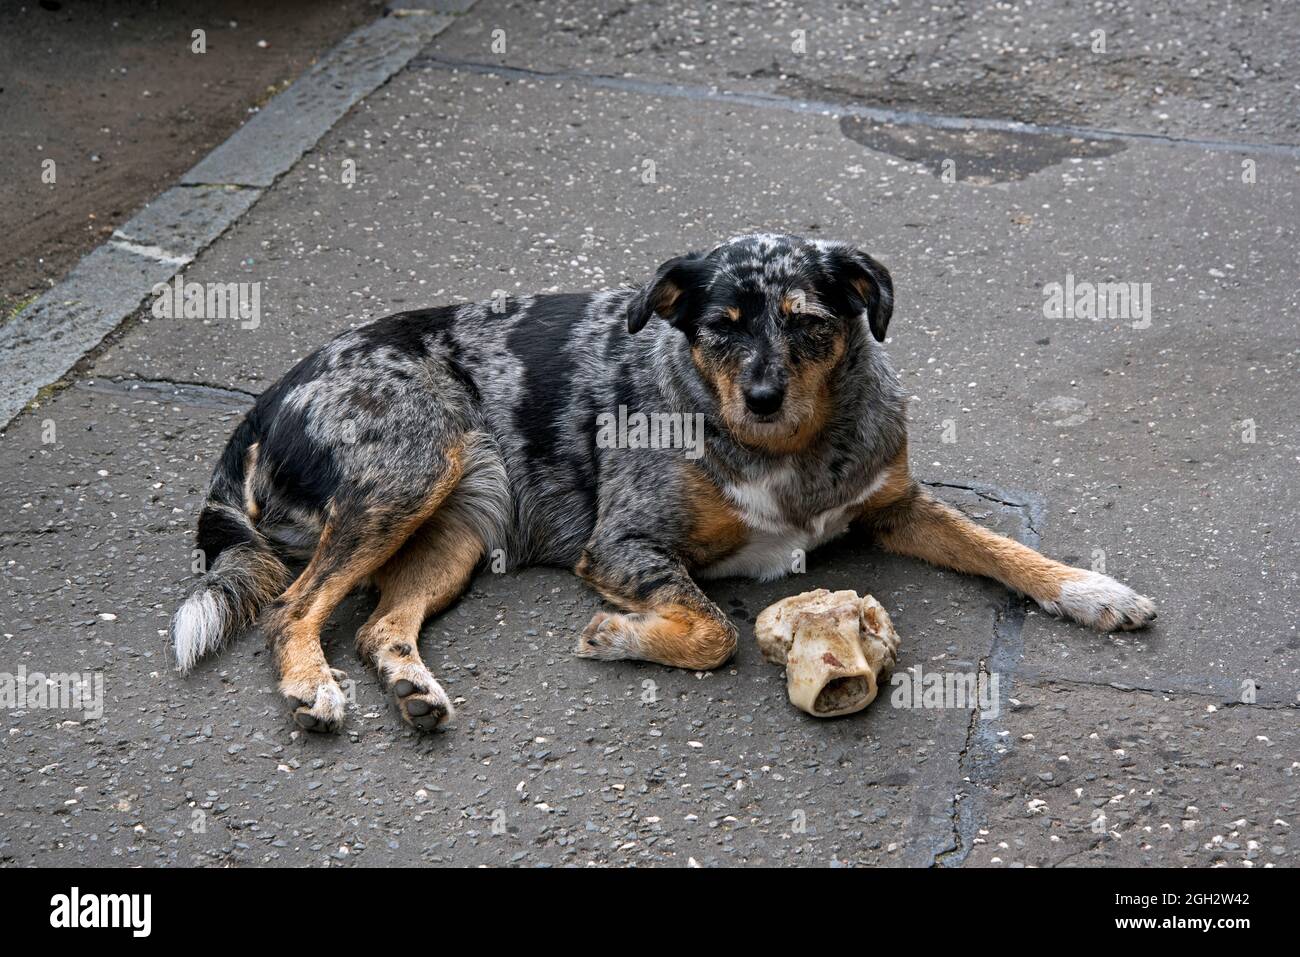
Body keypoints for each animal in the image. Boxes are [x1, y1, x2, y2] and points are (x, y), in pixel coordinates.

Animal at [172, 231, 1159, 733]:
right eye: (721, 325)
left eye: (806, 320)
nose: (763, 396)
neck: (783, 446)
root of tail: (268, 399)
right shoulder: (625, 544)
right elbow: (715, 629)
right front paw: (621, 635)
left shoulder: (896, 507)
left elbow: (1001, 547)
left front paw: (1091, 589)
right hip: (409, 473)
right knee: (292, 606)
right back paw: (311, 684)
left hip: (459, 523)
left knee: (381, 621)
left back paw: (413, 688)